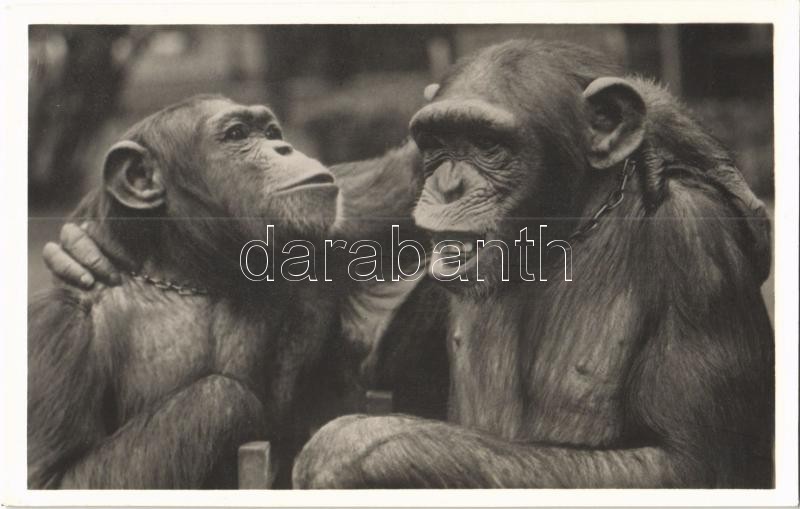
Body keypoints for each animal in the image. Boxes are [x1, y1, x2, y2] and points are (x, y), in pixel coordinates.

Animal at [28, 95, 444, 488]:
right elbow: (55, 477)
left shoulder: (344, 219)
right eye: (237, 135)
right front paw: (228, 398)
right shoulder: (58, 330)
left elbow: (414, 177)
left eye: (271, 132)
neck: (195, 273)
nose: (283, 147)